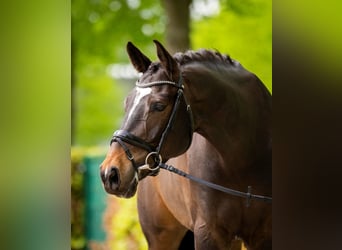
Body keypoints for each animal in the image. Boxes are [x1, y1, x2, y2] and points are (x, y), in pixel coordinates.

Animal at [99, 40, 272, 249]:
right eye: (127, 103)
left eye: (159, 106)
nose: (110, 173)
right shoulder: (208, 233)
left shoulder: (263, 236)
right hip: (161, 237)